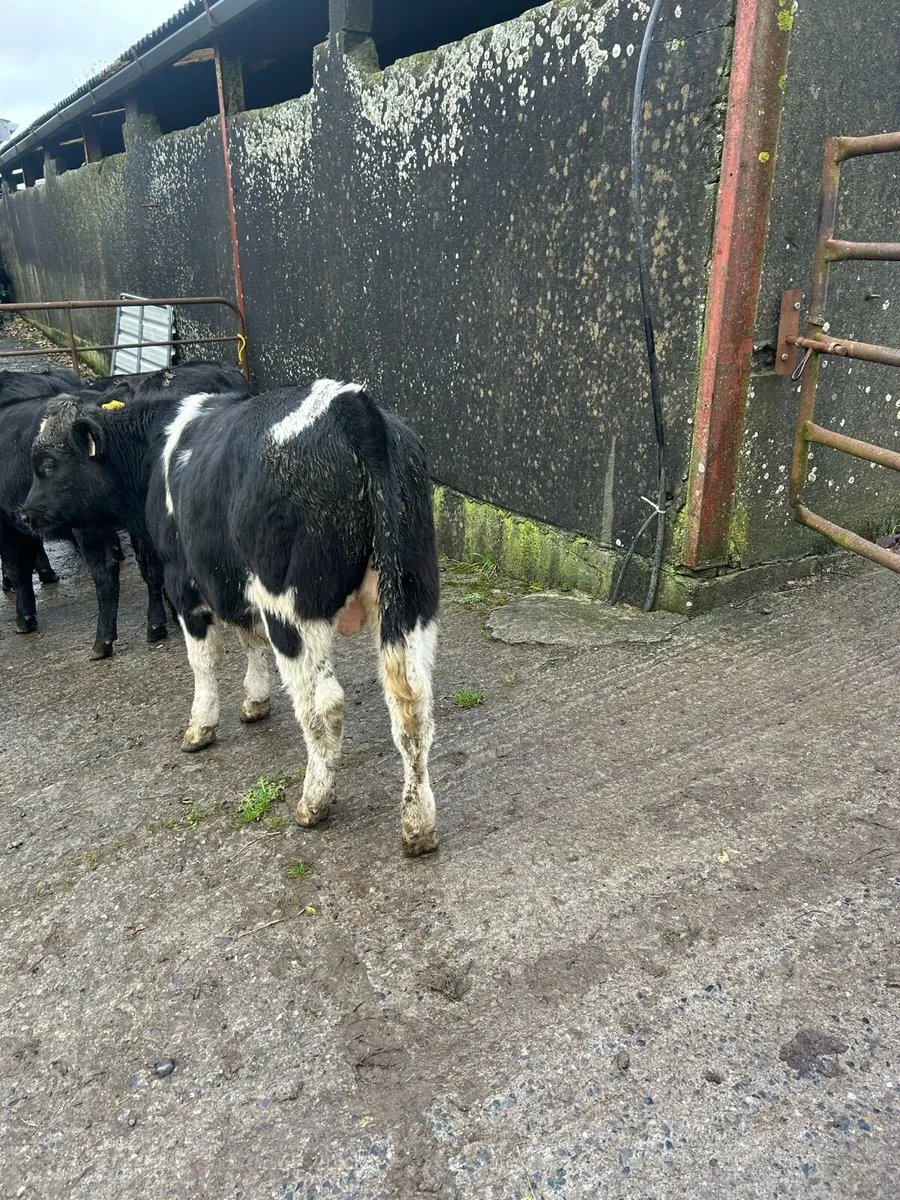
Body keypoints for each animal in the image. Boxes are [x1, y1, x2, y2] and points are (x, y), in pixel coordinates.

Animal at [24, 379, 441, 855]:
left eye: (48, 463)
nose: (25, 514)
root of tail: (347, 403)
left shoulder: (183, 580)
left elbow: (204, 661)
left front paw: (200, 726)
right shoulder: (233, 581)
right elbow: (250, 639)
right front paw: (256, 701)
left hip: (292, 612)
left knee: (323, 704)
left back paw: (314, 801)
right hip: (411, 596)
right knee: (412, 705)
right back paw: (418, 824)